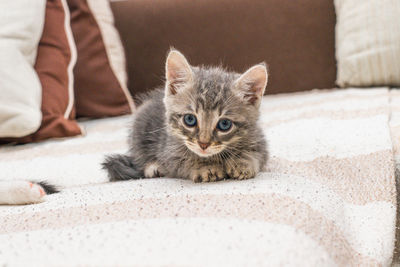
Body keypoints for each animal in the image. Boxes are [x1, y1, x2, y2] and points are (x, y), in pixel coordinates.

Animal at [102, 49, 268, 184]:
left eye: (224, 124)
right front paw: (205, 167)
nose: (203, 144)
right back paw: (153, 167)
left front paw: (242, 163)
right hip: (140, 124)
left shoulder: (259, 140)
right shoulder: (169, 151)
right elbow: (184, 160)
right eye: (190, 119)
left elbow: (256, 155)